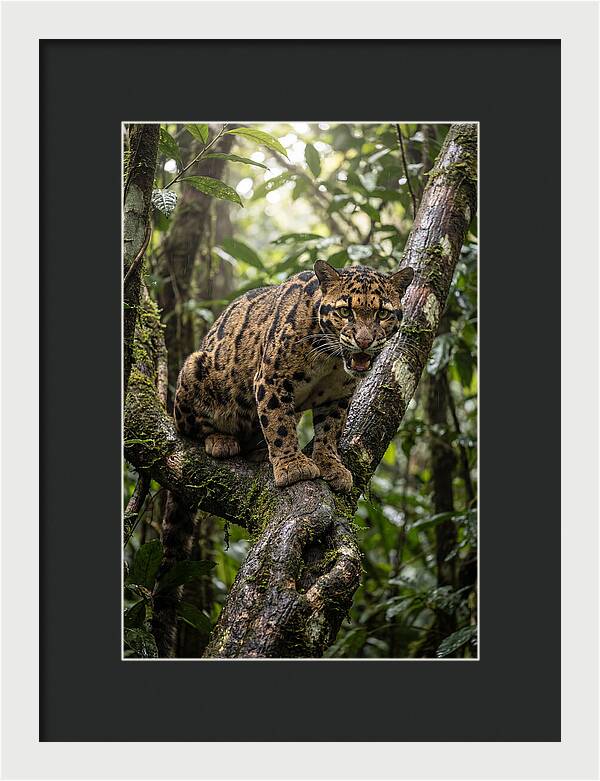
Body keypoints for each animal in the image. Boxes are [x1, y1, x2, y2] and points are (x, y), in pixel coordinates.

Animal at [174, 260, 414, 493]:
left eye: (382, 314)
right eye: (345, 312)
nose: (364, 341)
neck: (331, 360)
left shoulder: (338, 395)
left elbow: (330, 430)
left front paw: (331, 464)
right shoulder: (271, 379)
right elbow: (279, 423)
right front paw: (293, 466)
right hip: (194, 367)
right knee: (191, 429)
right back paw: (221, 440)